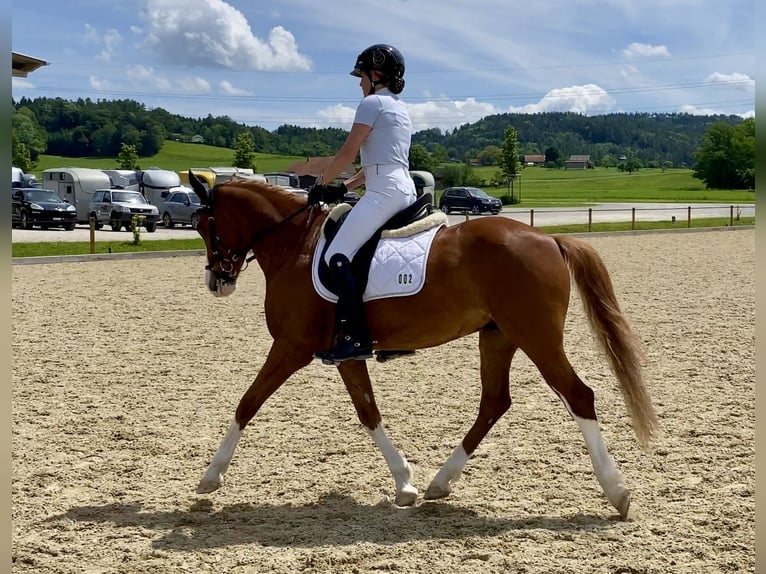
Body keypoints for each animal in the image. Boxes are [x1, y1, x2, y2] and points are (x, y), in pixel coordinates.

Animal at [188, 173, 660, 520]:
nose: (216, 281)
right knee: (494, 402)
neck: (296, 246)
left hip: (535, 336)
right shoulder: (346, 353)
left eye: (204, 225)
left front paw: (210, 477)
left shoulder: (291, 346)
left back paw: (617, 492)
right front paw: (405, 484)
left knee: (578, 395)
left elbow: (247, 402)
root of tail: (550, 238)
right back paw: (440, 482)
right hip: (499, 336)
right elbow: (368, 412)